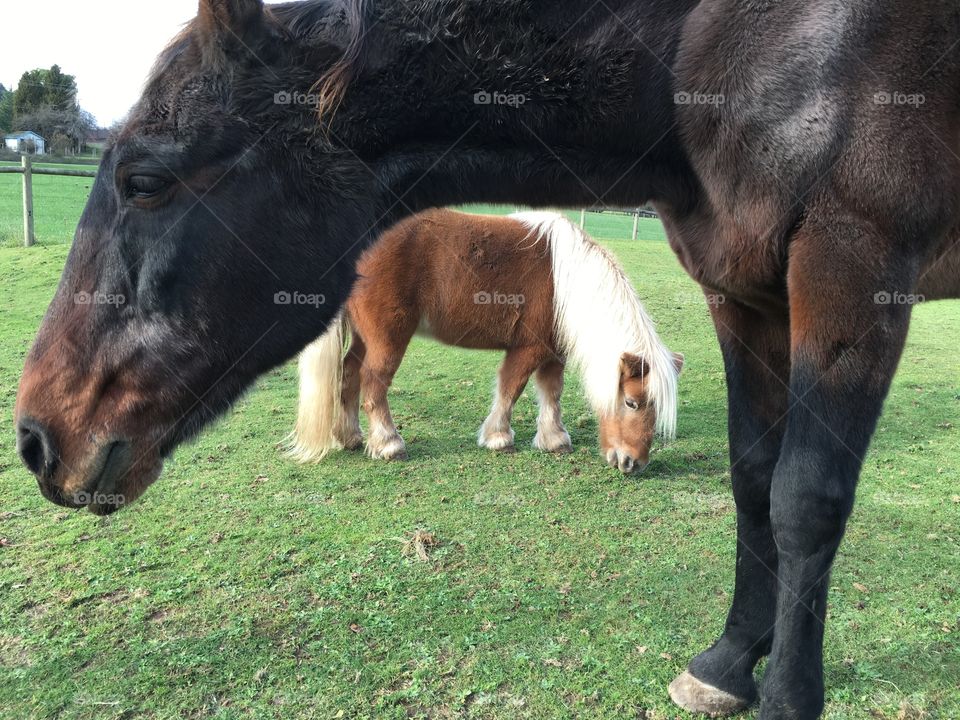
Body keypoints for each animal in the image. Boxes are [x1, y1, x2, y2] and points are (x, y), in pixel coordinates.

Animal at [286, 207, 684, 472]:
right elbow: (511, 388)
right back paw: (387, 444)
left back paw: (350, 437)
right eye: (632, 403)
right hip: (388, 337)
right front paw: (499, 438)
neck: (566, 281)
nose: (633, 463)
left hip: (364, 336)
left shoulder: (552, 354)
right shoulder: (528, 349)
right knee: (373, 383)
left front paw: (554, 440)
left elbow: (551, 392)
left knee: (349, 374)